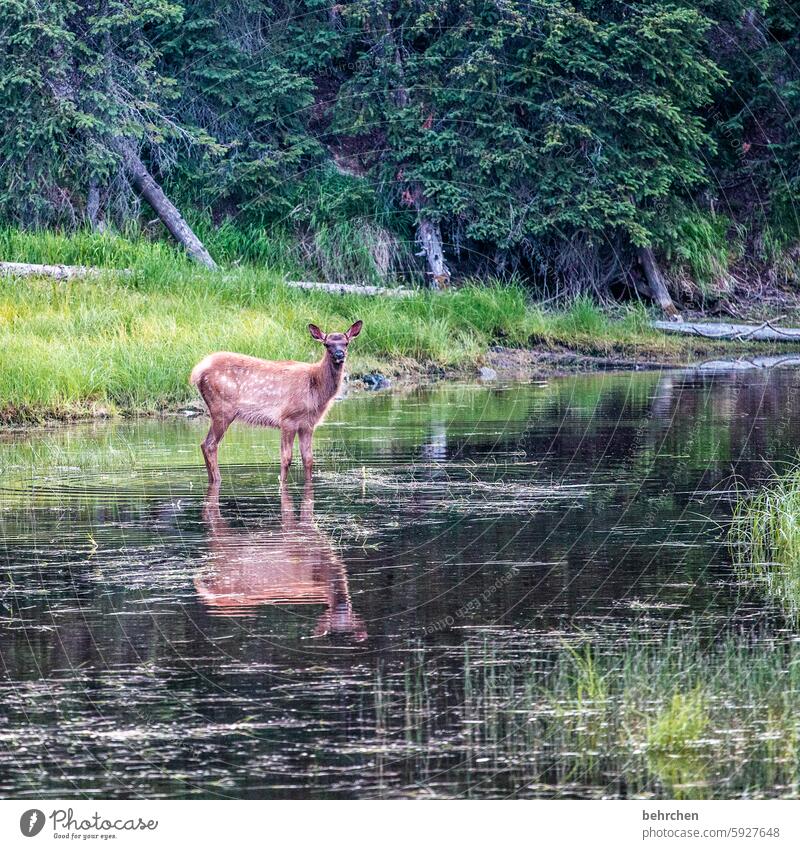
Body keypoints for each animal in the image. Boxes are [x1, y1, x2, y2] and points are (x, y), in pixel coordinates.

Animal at [189, 322, 360, 484]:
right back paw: (218, 479)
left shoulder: (308, 424)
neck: (316, 387)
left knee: (205, 444)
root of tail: (196, 371)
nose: (339, 354)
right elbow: (286, 458)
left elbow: (308, 459)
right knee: (209, 444)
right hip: (222, 408)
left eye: (346, 343)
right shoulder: (288, 418)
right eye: (327, 344)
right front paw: (282, 482)